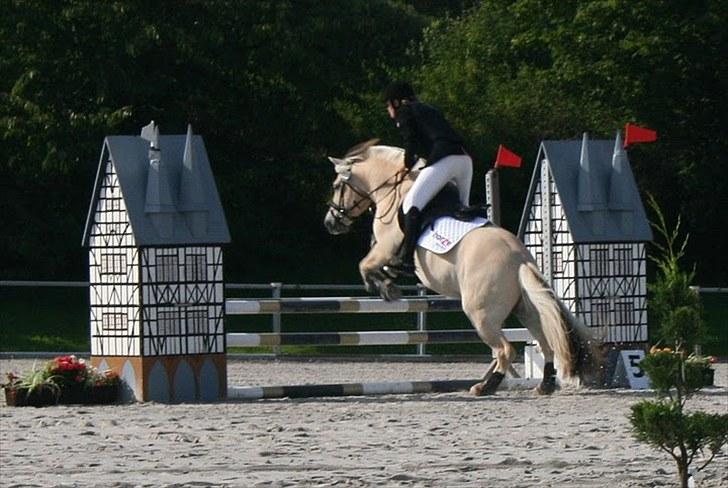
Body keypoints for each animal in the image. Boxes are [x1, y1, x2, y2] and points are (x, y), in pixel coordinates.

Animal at [324, 139, 604, 394]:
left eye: (337, 186)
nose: (330, 223)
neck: (395, 191)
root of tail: (520, 258)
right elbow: (375, 267)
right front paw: (388, 279)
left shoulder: (384, 248)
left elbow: (364, 266)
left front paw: (385, 288)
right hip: (525, 308)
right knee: (546, 342)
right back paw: (543, 384)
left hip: (480, 313)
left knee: (505, 349)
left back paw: (486, 386)